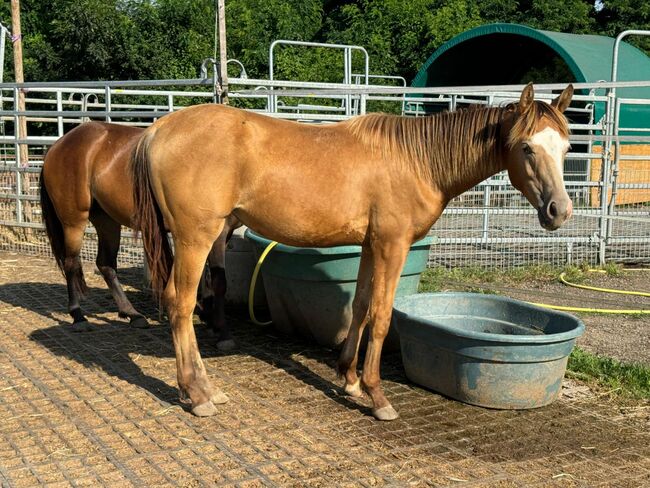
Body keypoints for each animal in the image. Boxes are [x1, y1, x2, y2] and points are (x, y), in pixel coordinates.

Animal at [37, 122, 238, 348]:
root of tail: (58, 145)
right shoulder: (214, 235)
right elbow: (218, 281)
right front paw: (222, 331)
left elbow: (207, 278)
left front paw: (209, 318)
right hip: (74, 221)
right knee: (71, 263)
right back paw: (78, 316)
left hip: (107, 221)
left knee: (105, 265)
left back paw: (132, 314)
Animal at [132, 84, 572, 420]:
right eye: (527, 148)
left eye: (567, 149)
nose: (560, 211)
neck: (417, 160)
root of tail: (158, 129)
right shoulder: (392, 245)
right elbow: (380, 317)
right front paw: (377, 395)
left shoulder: (369, 246)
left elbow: (358, 308)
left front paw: (349, 379)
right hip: (196, 238)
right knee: (181, 305)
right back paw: (198, 395)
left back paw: (205, 389)